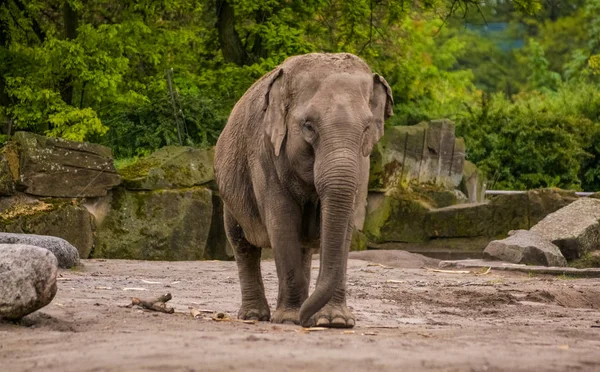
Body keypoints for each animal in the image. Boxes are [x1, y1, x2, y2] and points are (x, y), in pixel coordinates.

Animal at [214, 52, 394, 328]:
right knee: (242, 243)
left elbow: (344, 229)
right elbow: (283, 223)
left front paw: (335, 321)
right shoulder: (266, 155)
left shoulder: (363, 164)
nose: (305, 320)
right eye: (308, 126)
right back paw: (254, 316)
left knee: (304, 247)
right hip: (231, 193)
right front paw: (289, 319)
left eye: (366, 128)